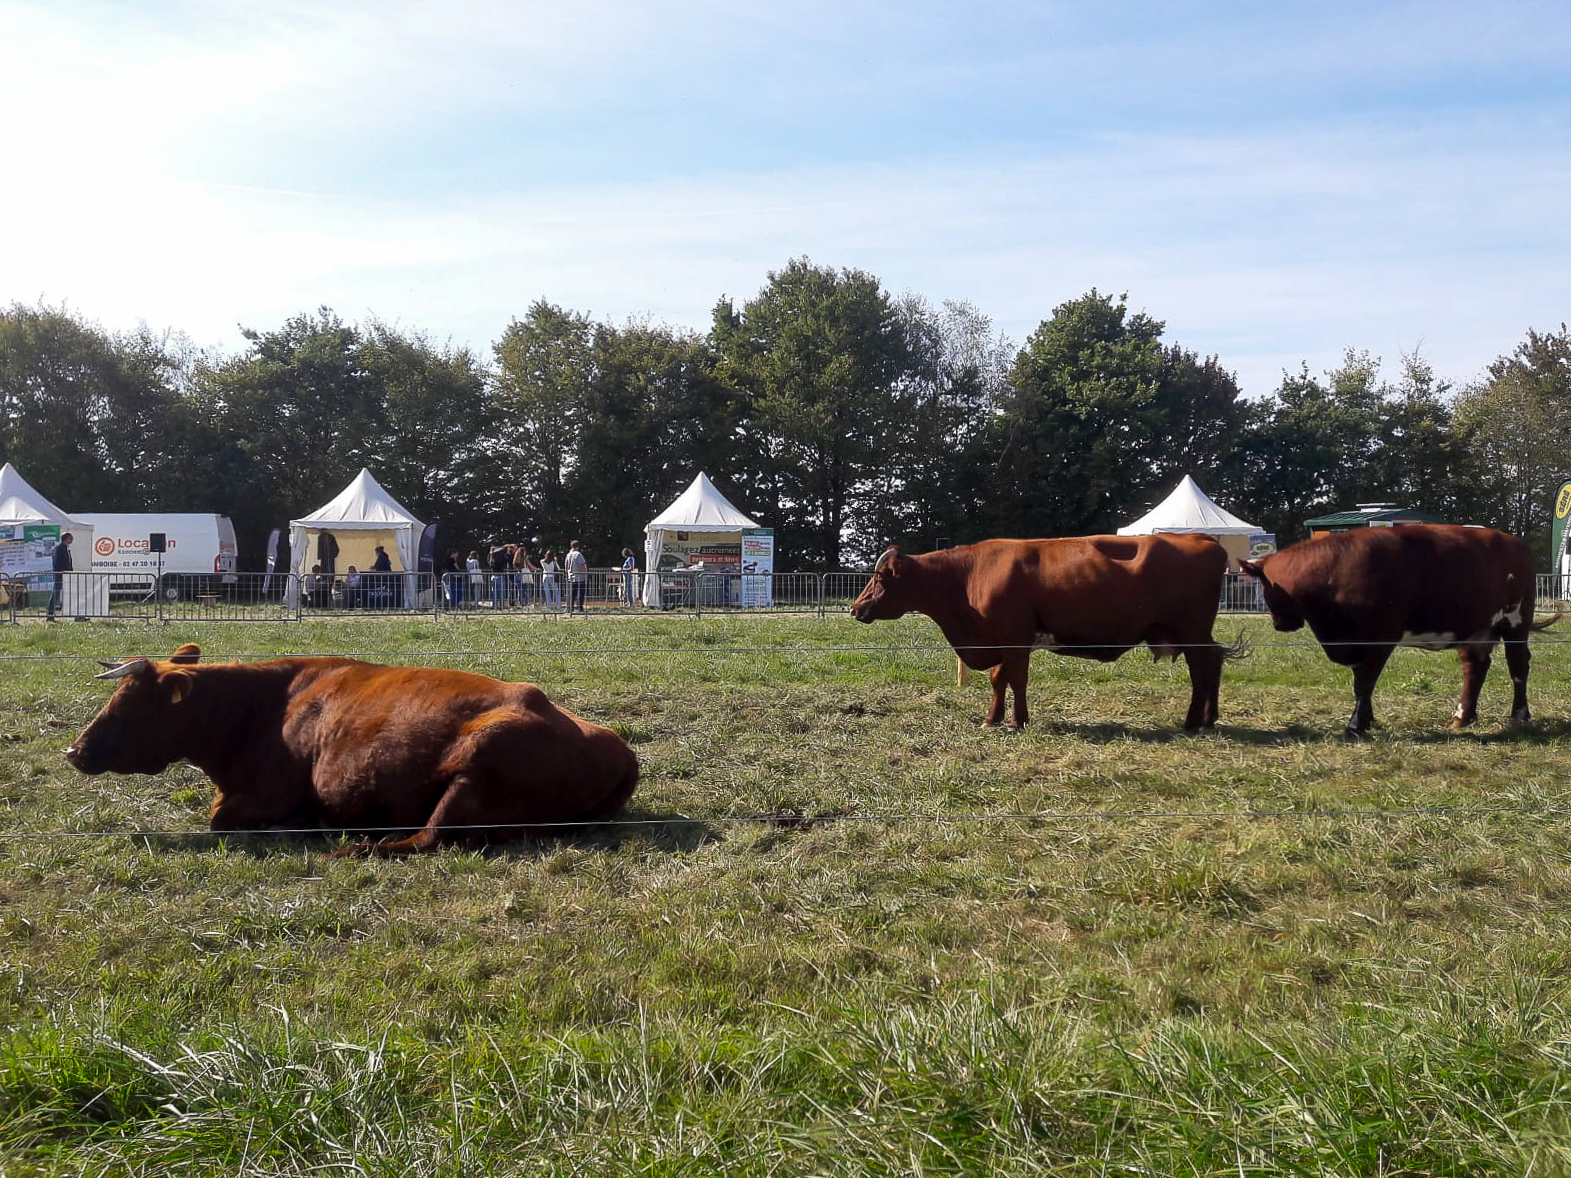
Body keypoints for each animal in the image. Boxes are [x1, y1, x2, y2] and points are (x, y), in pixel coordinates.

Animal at [61, 647, 637, 860]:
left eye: (128, 702)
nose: (75, 750)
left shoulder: (267, 794)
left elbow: (220, 819)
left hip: (477, 766)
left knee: (423, 839)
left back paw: (348, 842)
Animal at [854, 540, 1231, 735]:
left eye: (881, 578)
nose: (856, 607)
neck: (965, 575)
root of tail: (1205, 539)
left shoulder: (1015, 639)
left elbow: (1015, 680)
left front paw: (1017, 720)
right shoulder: (1004, 641)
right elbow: (999, 679)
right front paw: (993, 718)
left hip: (1192, 633)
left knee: (1201, 670)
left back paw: (1192, 721)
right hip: (1198, 634)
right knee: (1214, 661)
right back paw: (1209, 718)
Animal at [1244, 527, 1552, 738]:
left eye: (1265, 592)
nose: (1280, 624)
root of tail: (1516, 543)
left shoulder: (1380, 637)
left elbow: (1364, 683)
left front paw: (1356, 725)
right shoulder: (1355, 642)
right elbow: (1360, 682)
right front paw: (1367, 720)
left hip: (1516, 621)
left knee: (1518, 665)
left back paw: (1519, 715)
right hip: (1474, 628)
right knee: (1475, 668)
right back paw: (1462, 717)